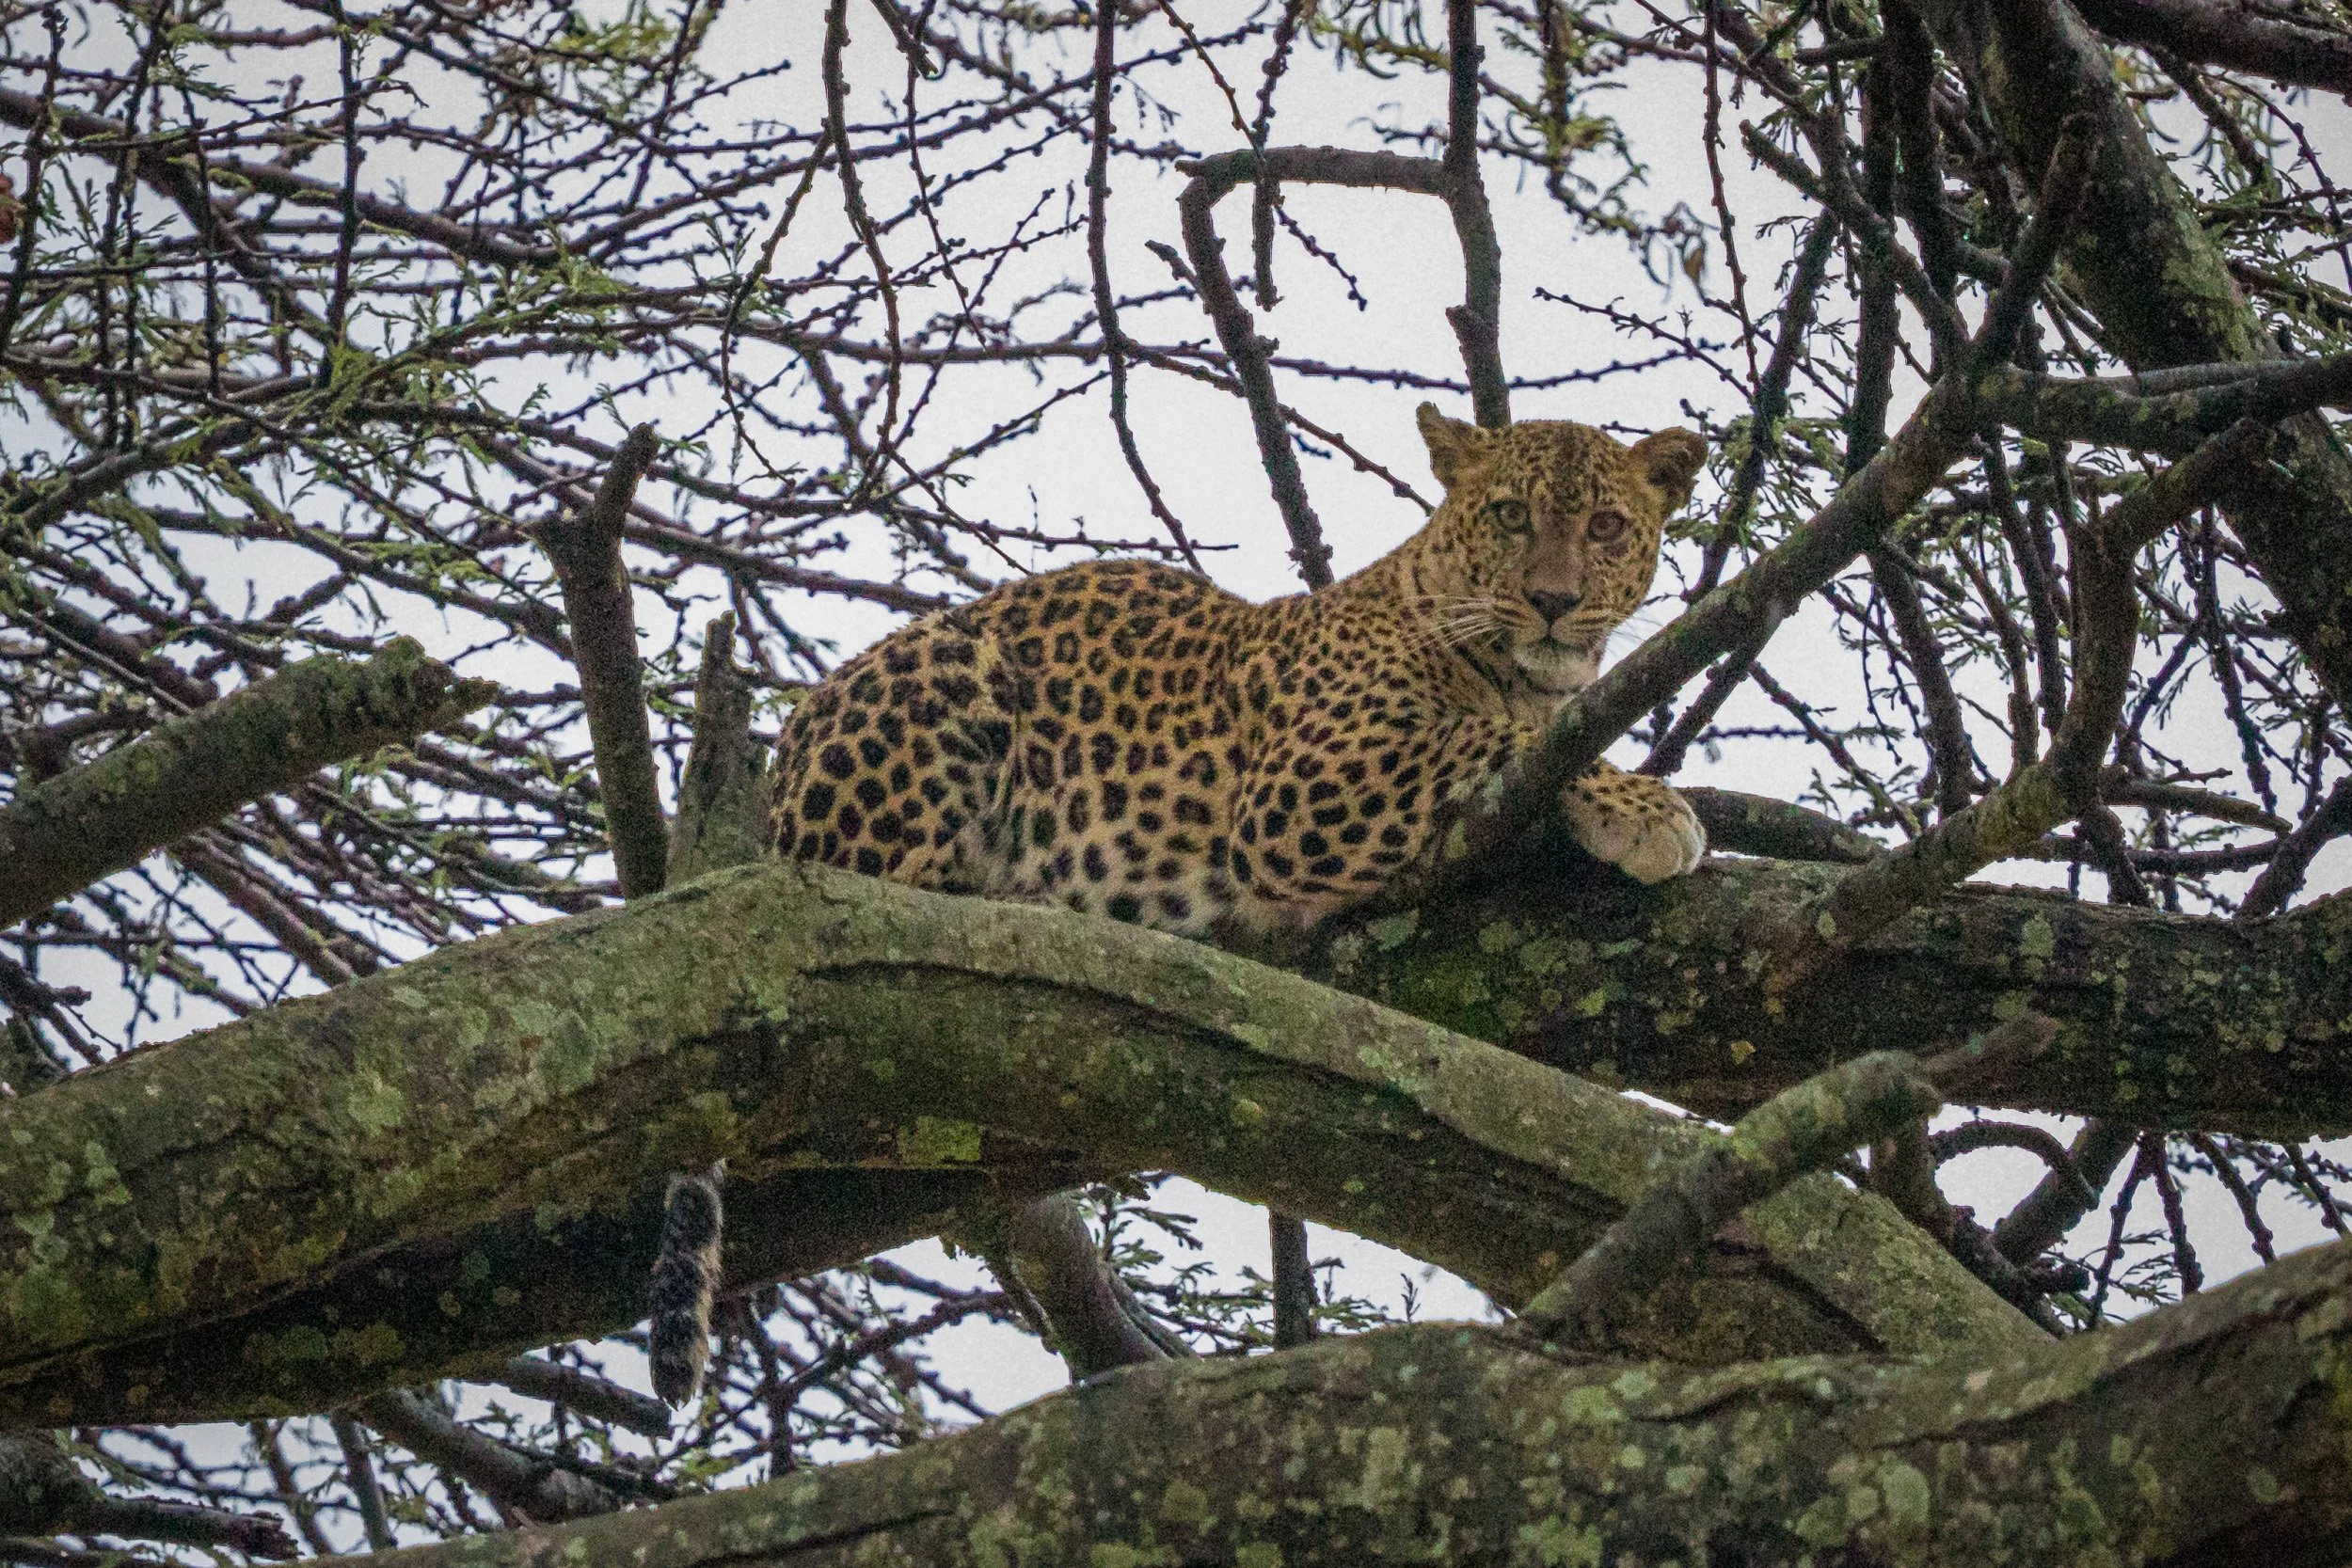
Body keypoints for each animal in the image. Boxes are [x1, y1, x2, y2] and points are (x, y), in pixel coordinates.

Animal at [646, 402, 1709, 1406]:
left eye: (1607, 525)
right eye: (1510, 514)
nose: (1554, 601)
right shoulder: (1300, 785)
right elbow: (1486, 739)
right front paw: (1646, 806)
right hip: (947, 680)